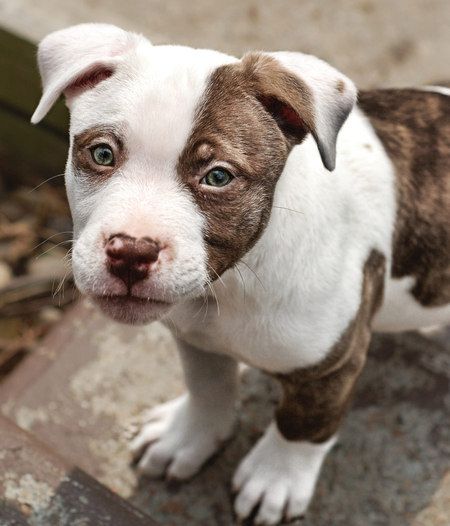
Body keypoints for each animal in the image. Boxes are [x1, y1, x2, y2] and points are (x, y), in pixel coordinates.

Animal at [32, 22, 450, 524]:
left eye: (218, 177)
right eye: (101, 154)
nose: (131, 251)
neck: (230, 284)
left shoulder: (333, 365)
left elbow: (303, 423)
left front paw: (276, 480)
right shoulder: (195, 334)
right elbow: (207, 386)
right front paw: (188, 437)